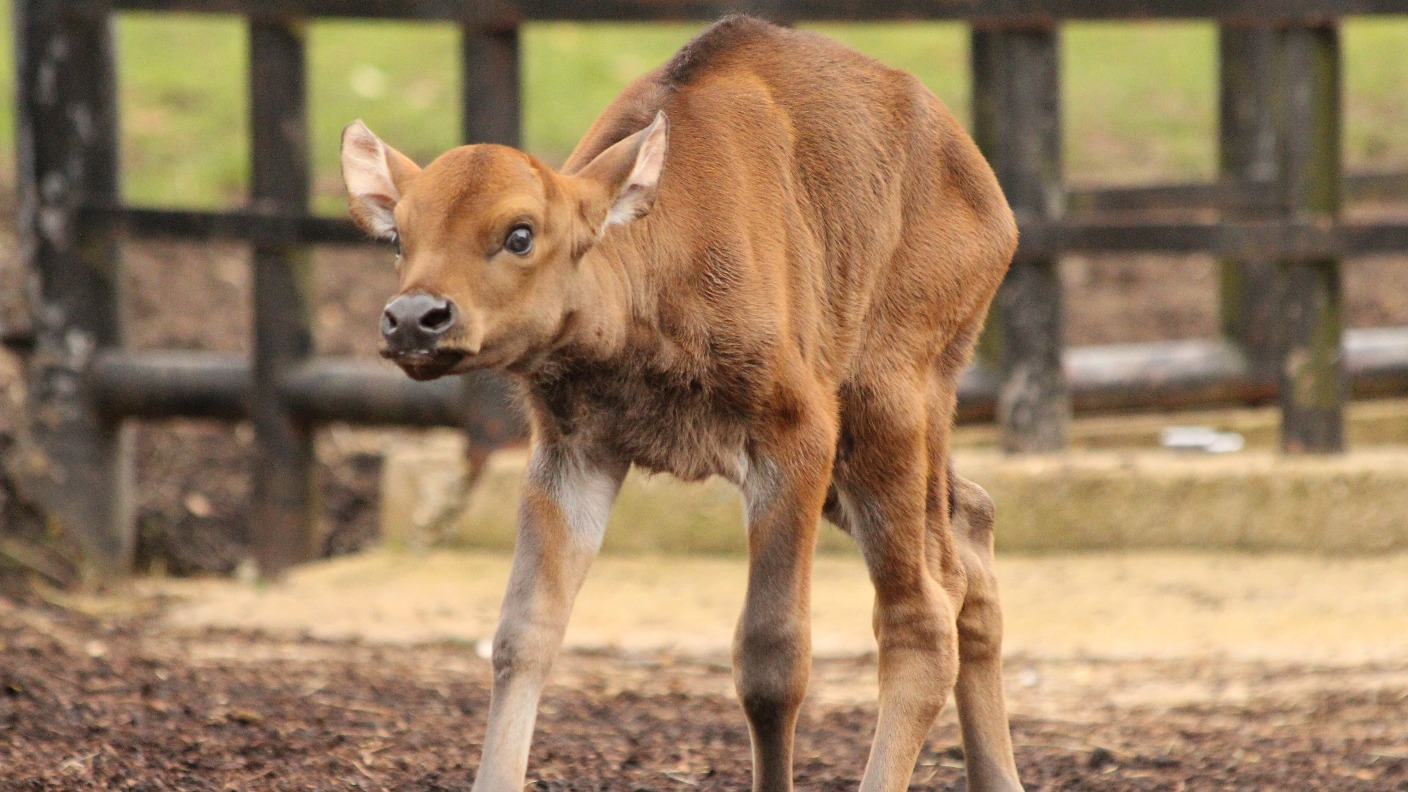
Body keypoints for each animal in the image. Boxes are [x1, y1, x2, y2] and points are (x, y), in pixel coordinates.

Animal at [340, 16, 1025, 789]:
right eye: (398, 234)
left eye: (519, 232)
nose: (414, 318)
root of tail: (993, 202)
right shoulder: (575, 449)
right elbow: (524, 634)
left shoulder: (797, 434)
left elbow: (771, 660)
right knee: (969, 529)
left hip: (889, 397)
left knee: (922, 613)